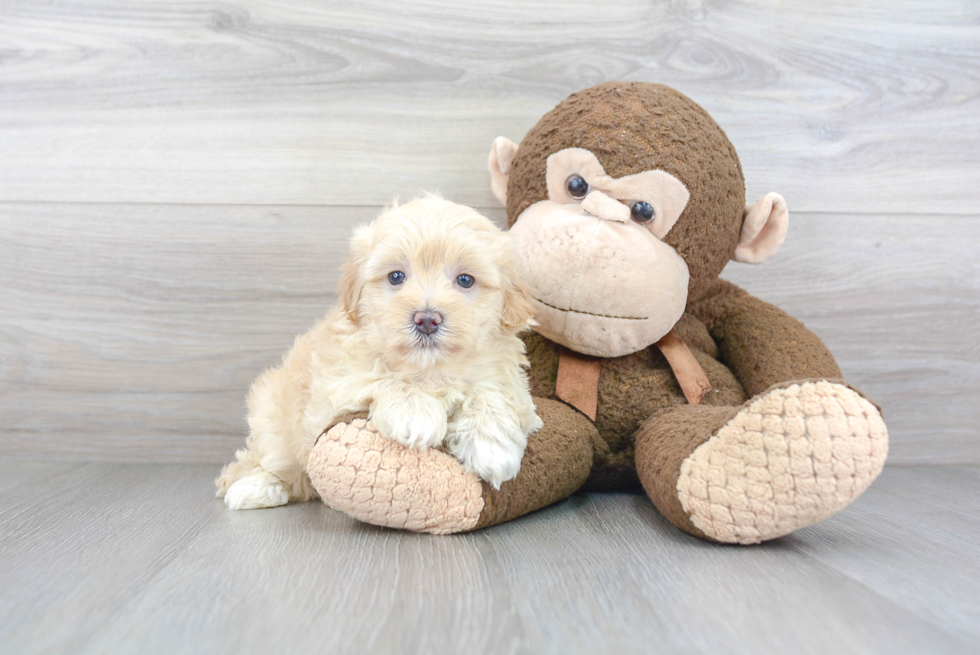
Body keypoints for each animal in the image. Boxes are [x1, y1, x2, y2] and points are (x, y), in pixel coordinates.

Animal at [216, 192, 544, 510]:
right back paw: (255, 487)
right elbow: (383, 380)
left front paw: (491, 446)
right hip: (272, 417)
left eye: (465, 280)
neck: (430, 369)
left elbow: (491, 393)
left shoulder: (505, 376)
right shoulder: (335, 385)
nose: (427, 319)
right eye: (396, 276)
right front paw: (416, 413)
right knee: (272, 464)